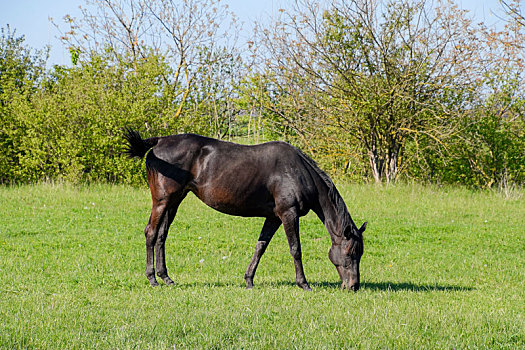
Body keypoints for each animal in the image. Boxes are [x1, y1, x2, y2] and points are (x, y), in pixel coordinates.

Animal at [125, 130, 366, 292]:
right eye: (350, 253)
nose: (353, 286)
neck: (298, 171)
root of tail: (159, 141)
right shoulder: (288, 214)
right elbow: (295, 249)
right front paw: (303, 283)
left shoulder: (273, 217)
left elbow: (261, 246)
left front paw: (249, 280)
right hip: (162, 201)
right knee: (151, 233)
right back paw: (152, 278)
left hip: (174, 202)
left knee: (161, 236)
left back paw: (166, 277)